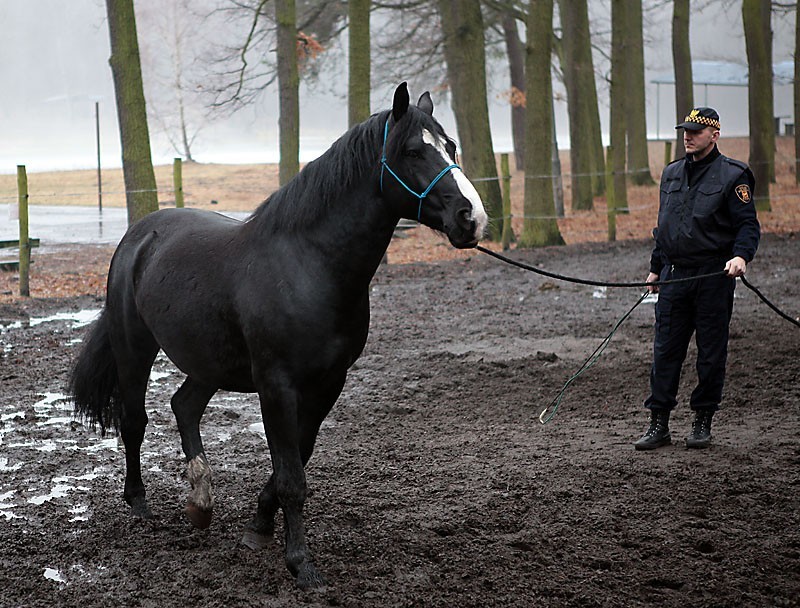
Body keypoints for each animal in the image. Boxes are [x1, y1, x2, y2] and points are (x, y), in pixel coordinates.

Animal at [72, 82, 488, 588]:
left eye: (450, 147)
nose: (471, 217)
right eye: (412, 151)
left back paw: (200, 504)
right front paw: (300, 563)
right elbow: (291, 475)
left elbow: (298, 457)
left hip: (210, 362)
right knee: (134, 421)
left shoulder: (328, 383)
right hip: (135, 348)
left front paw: (260, 524)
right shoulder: (276, 385)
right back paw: (139, 504)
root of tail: (140, 234)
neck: (308, 265)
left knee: (184, 405)